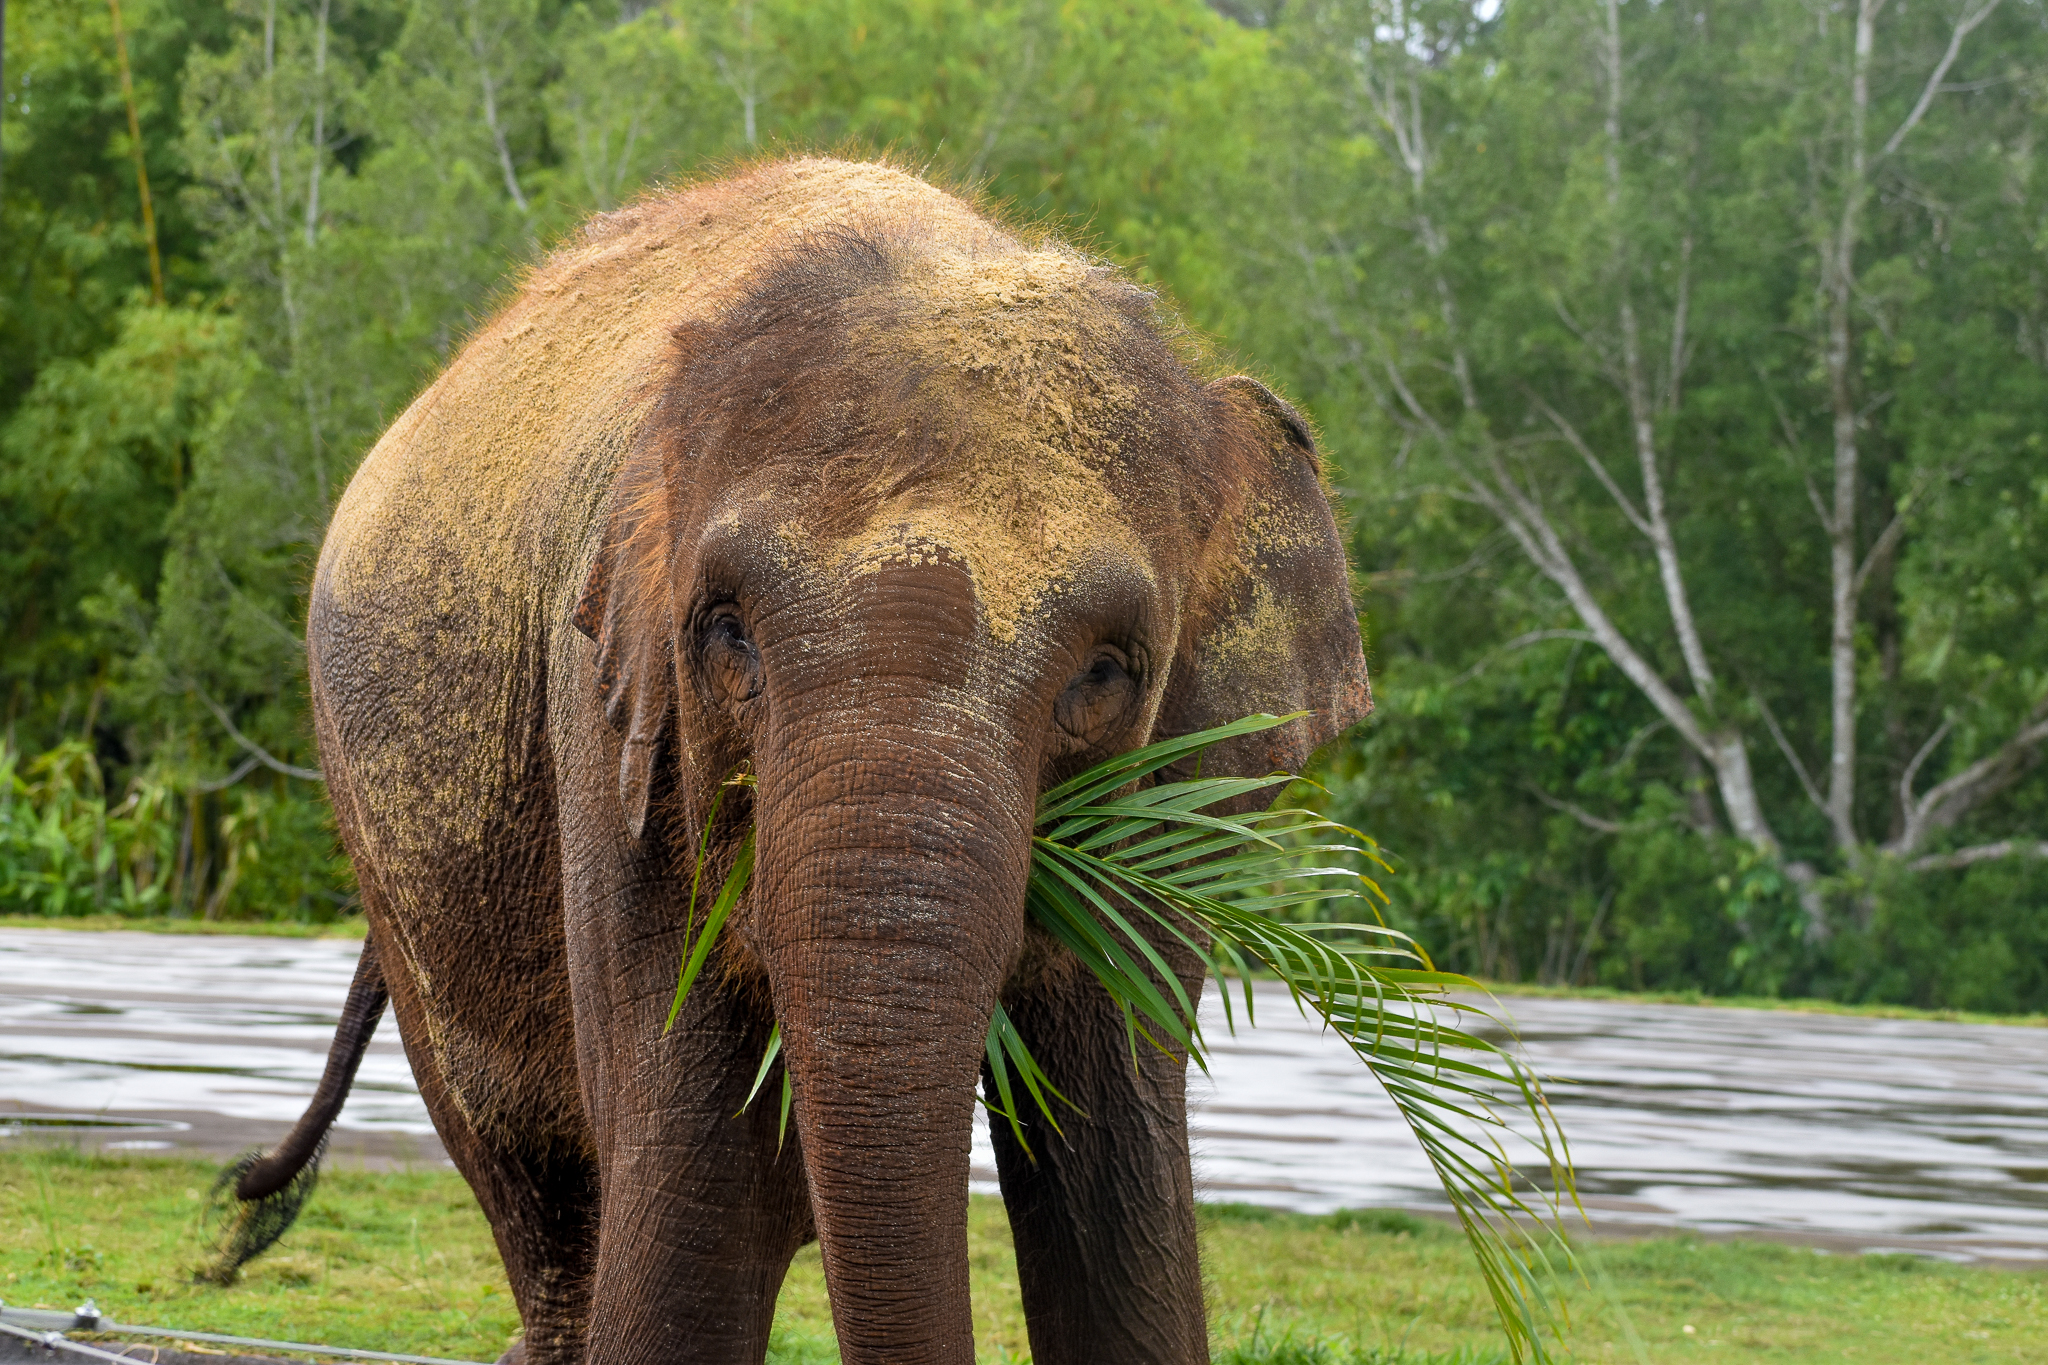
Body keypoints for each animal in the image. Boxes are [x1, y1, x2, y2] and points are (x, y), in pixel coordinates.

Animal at [226, 158, 1369, 1365]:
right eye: (724, 631)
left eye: (1106, 671)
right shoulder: (614, 730)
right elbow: (695, 1222)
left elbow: (1117, 1191)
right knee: (551, 1199)